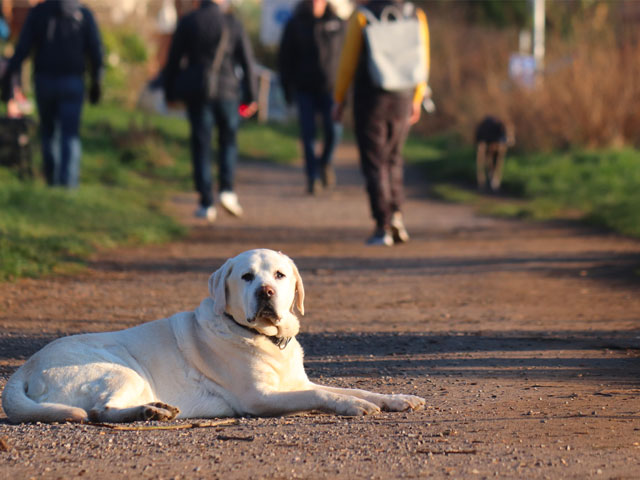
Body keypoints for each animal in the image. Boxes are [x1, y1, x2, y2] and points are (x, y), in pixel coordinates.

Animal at [5, 249, 428, 422]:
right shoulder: (260, 398)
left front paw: (396, 399)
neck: (265, 339)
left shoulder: (297, 382)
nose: (266, 292)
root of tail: (23, 369)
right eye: (246, 276)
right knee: (98, 411)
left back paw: (155, 409)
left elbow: (354, 387)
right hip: (121, 369)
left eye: (279, 275)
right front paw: (352, 407)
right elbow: (322, 396)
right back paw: (147, 412)